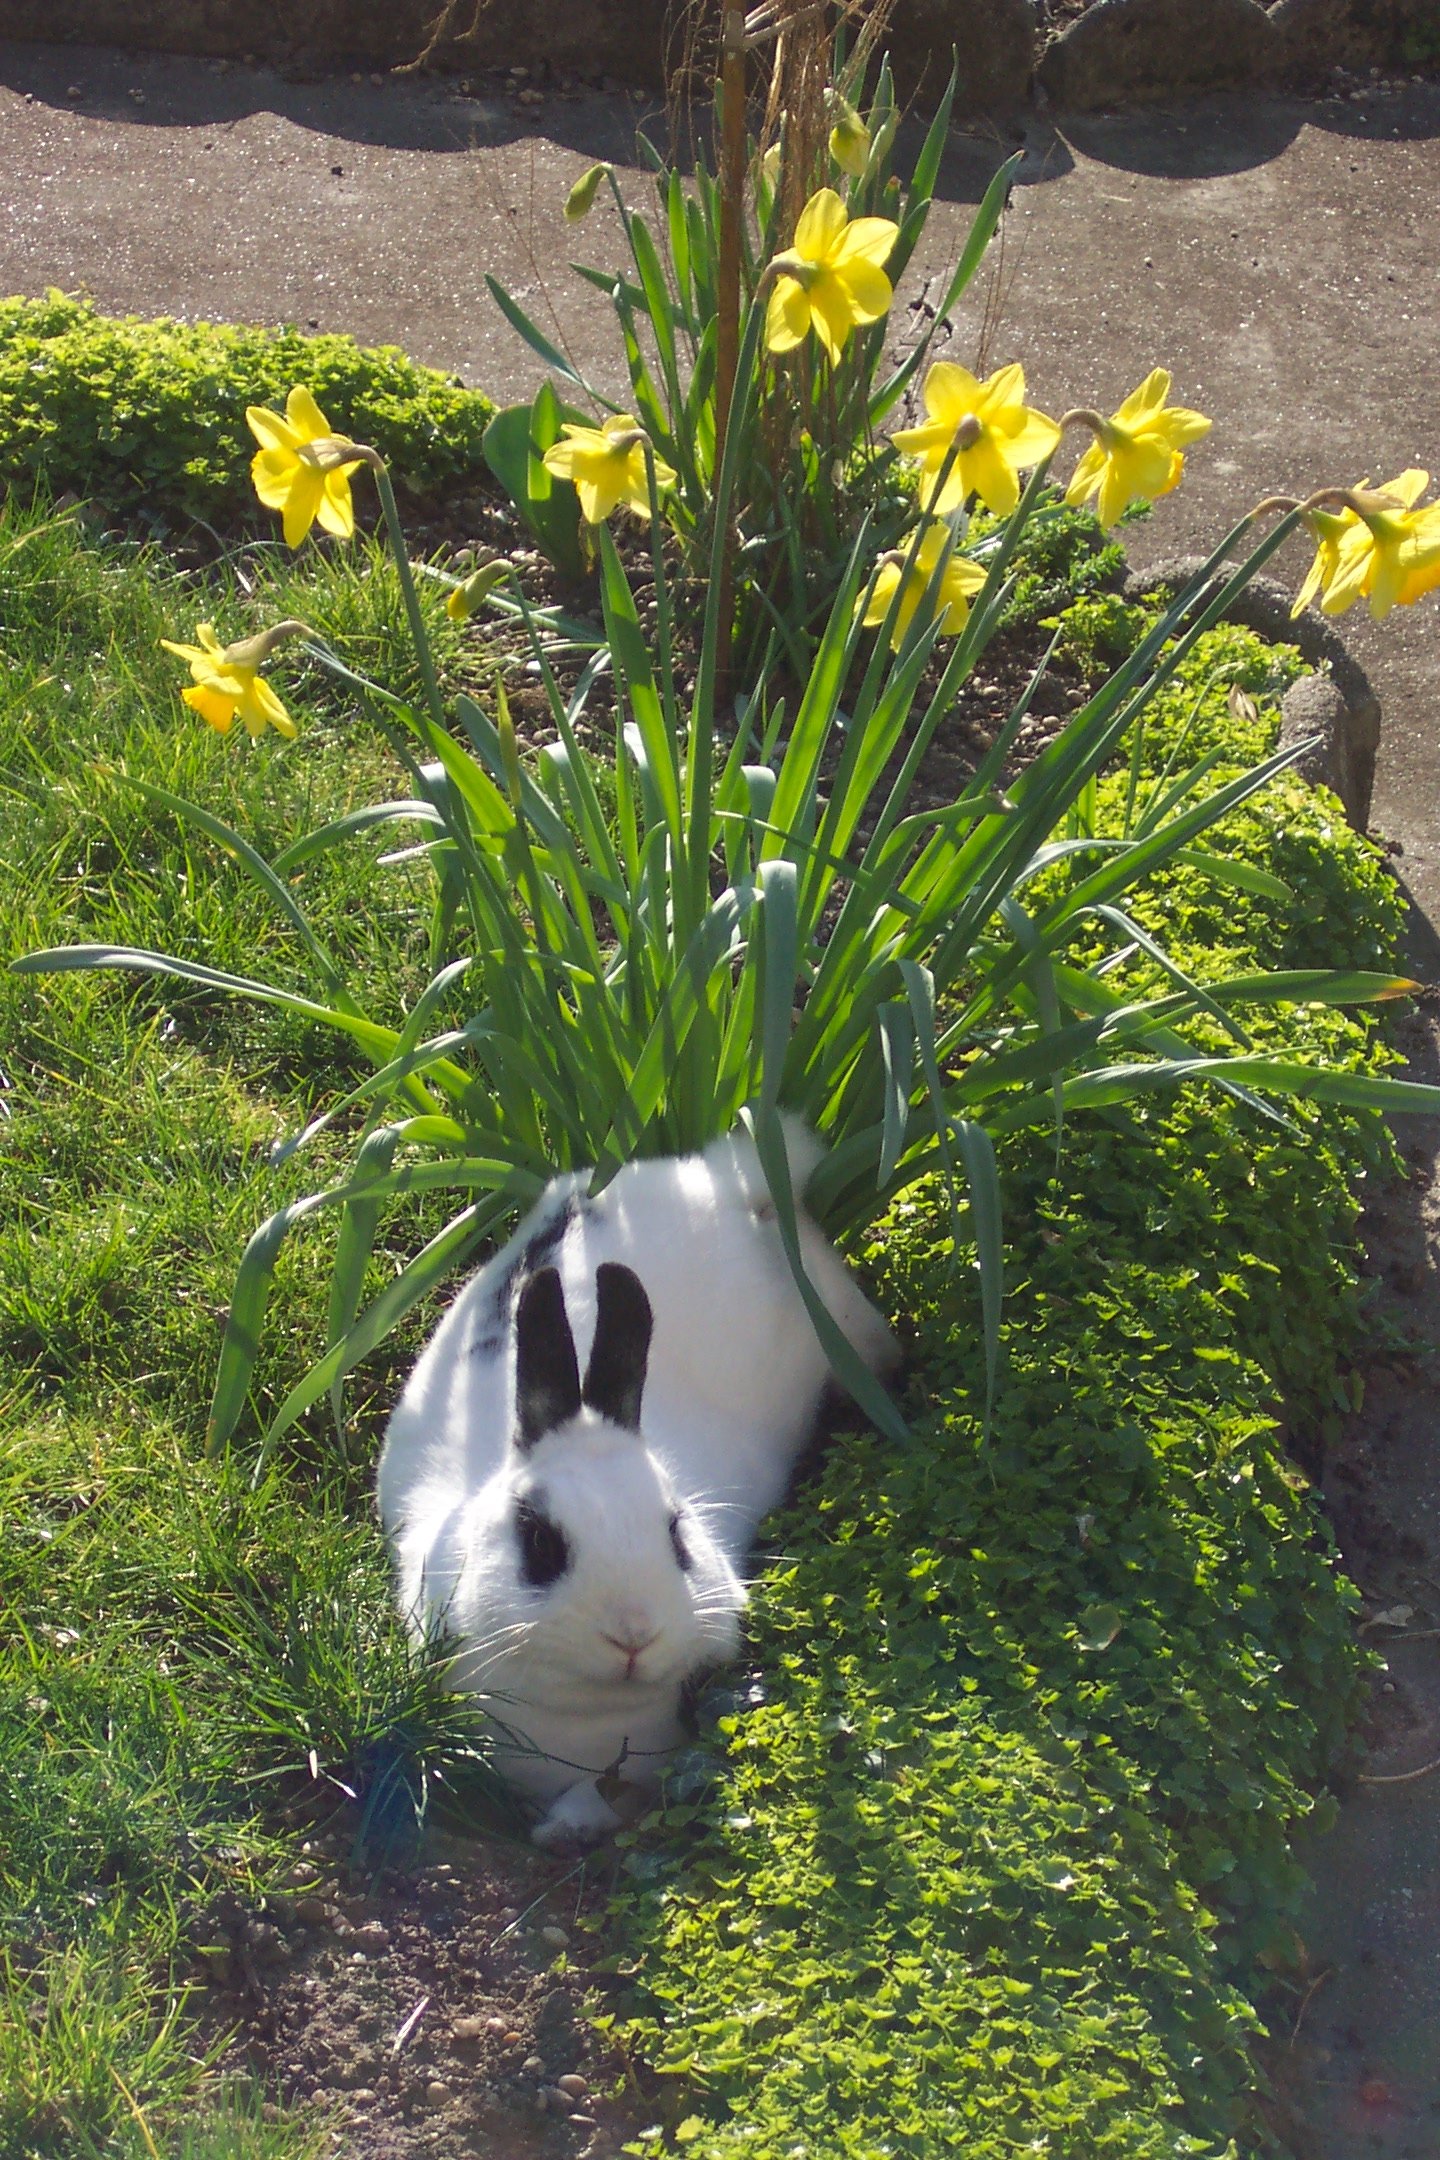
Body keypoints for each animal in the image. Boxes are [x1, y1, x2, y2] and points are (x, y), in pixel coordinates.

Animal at [375, 1115, 897, 1849]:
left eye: (677, 1535)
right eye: (540, 1542)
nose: (633, 1633)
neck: (590, 1718)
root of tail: (719, 1177)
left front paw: (566, 1826)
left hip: (843, 1319)